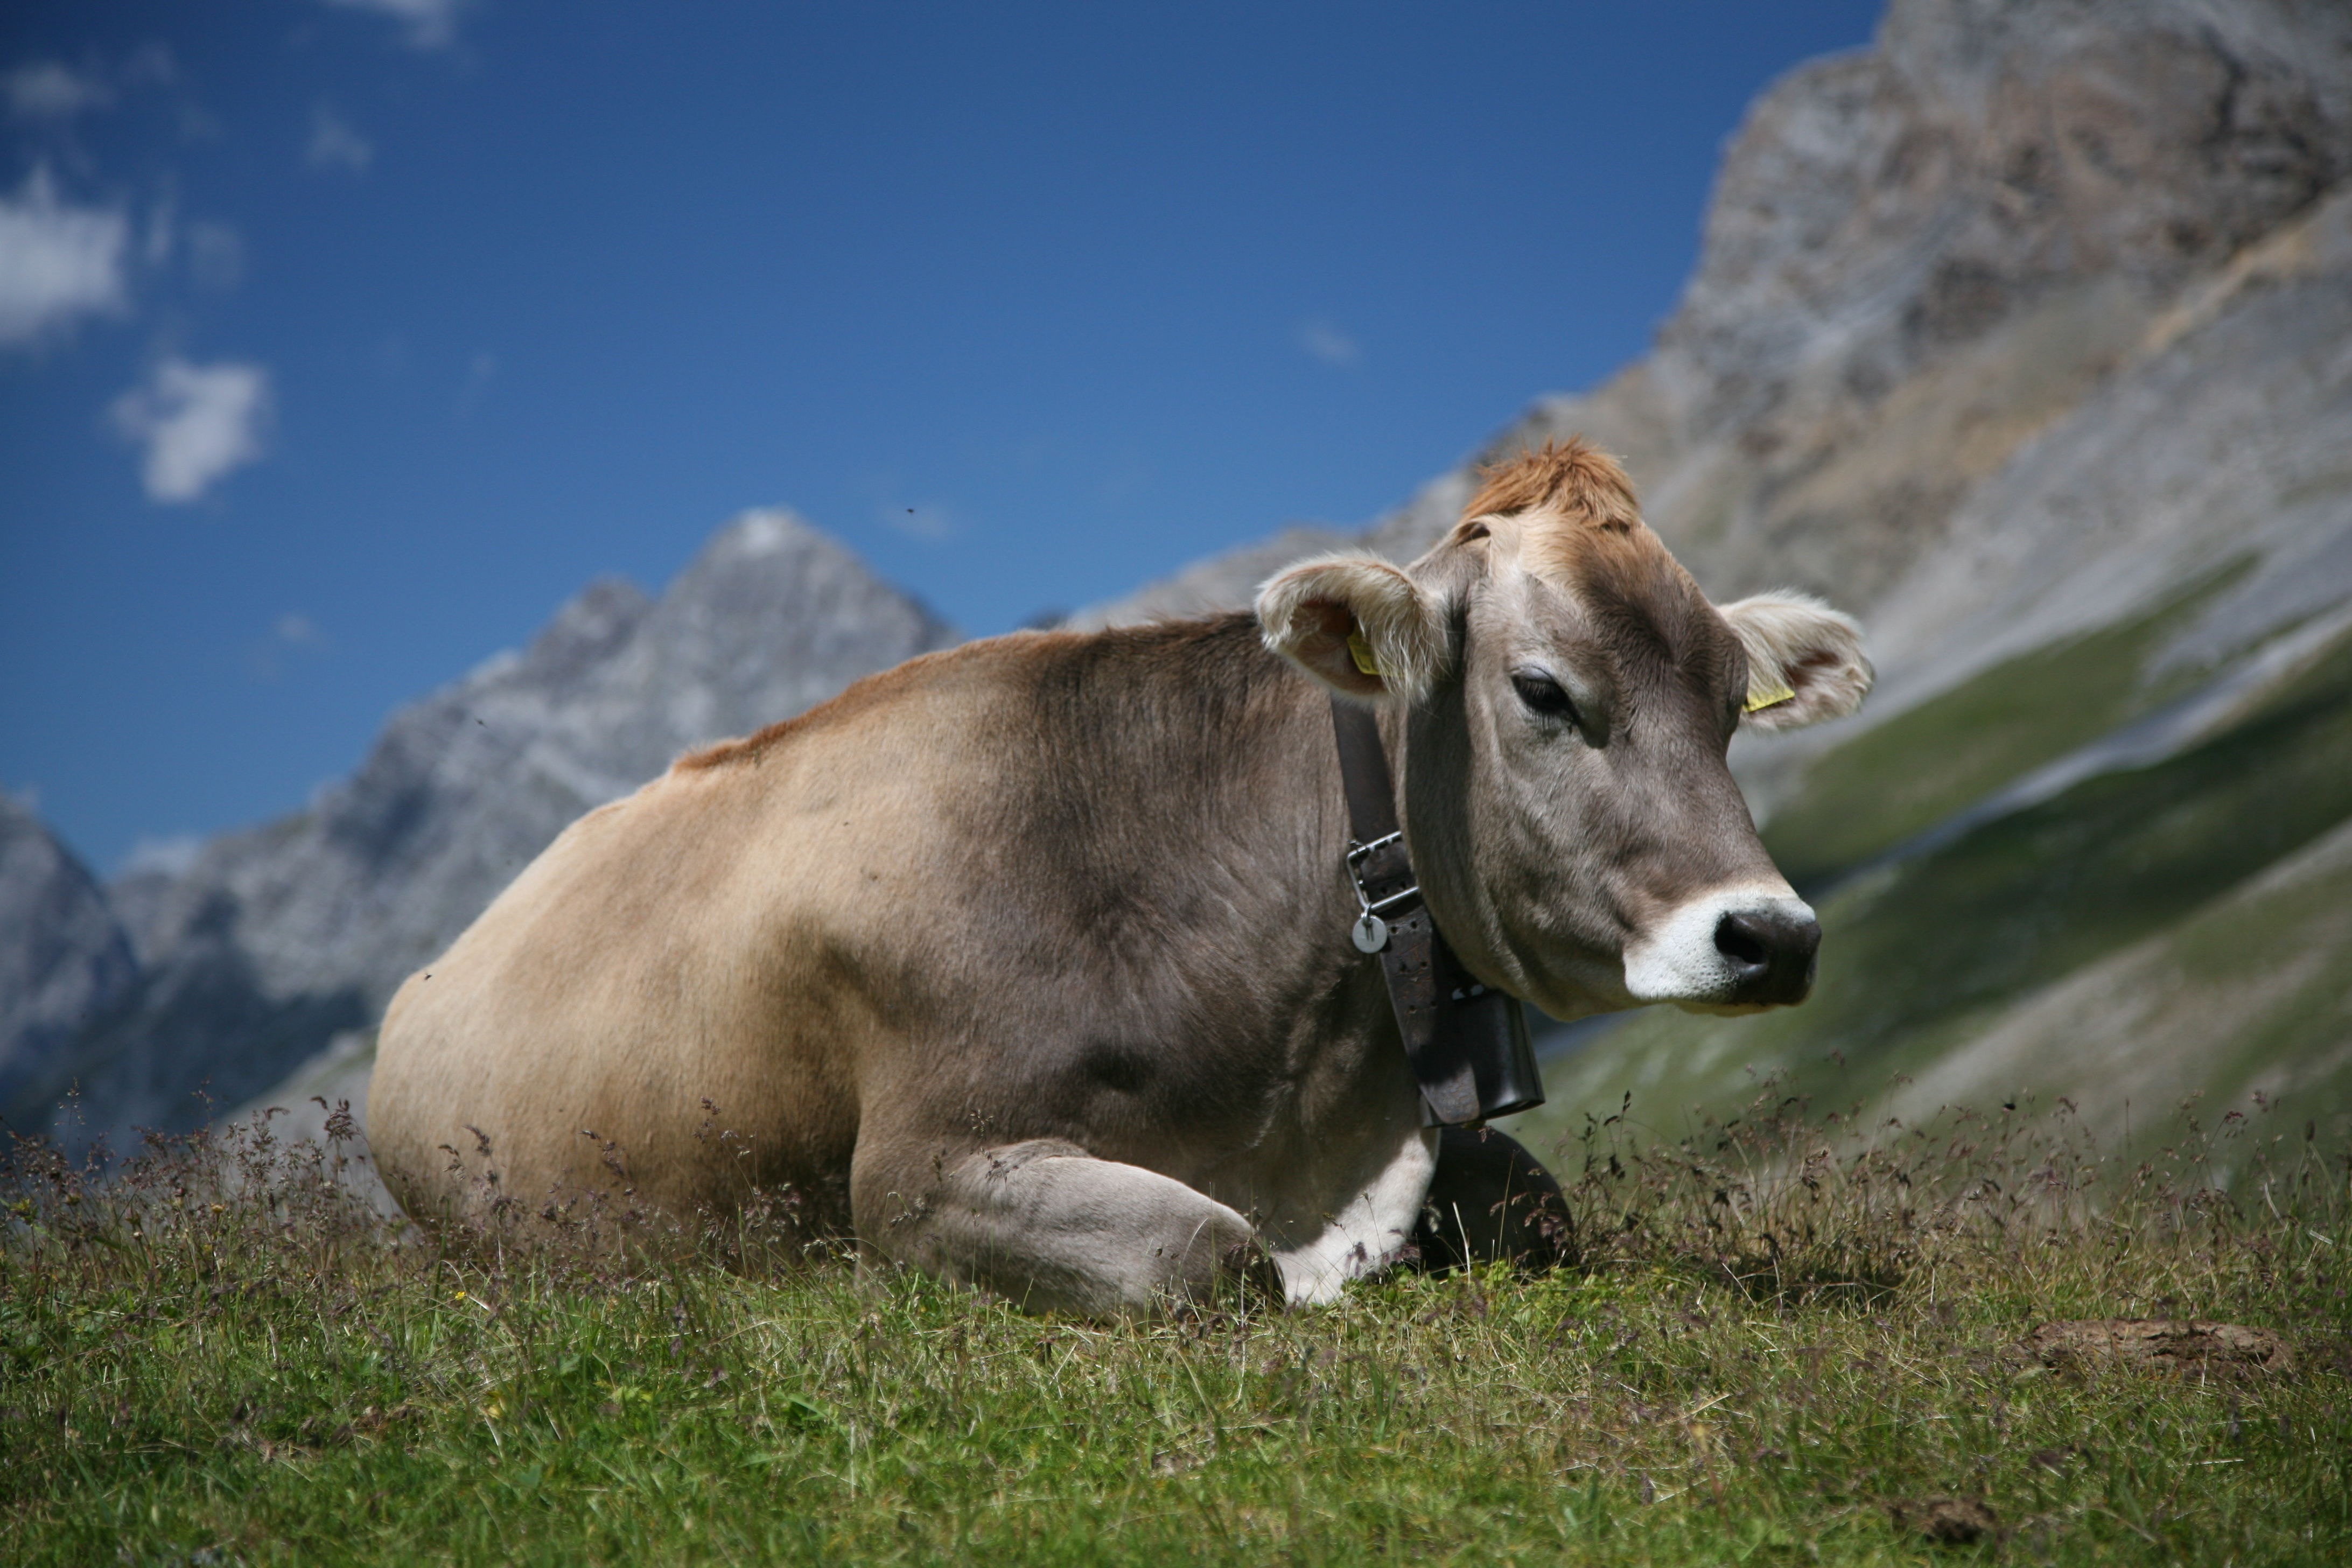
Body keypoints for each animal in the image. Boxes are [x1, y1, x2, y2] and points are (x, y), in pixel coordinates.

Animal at [368, 440, 1870, 1315]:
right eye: (1546, 692)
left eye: (1730, 706)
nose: (1773, 934)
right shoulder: (914, 1175)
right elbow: (1209, 1255)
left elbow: (1545, 1207)